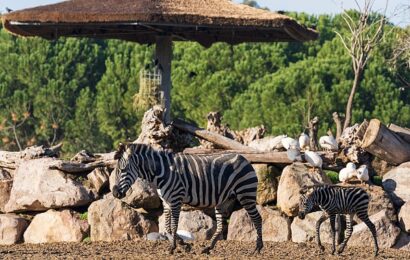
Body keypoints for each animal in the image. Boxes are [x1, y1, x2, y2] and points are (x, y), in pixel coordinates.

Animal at [111, 142, 262, 254]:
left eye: (122, 170)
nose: (114, 193)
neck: (162, 171)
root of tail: (244, 158)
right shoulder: (166, 202)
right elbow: (167, 227)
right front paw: (183, 245)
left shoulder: (176, 199)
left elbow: (173, 226)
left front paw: (173, 247)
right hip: (224, 200)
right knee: (220, 226)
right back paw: (208, 248)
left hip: (246, 193)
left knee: (257, 218)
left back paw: (257, 248)